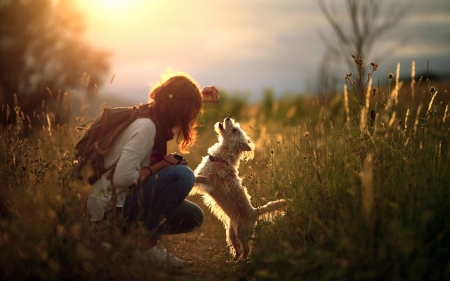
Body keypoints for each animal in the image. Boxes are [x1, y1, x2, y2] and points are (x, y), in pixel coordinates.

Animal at [192, 116, 286, 260]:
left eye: (235, 130)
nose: (227, 118)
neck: (221, 157)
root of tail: (254, 212)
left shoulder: (210, 181)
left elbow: (199, 178)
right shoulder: (202, 171)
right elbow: (195, 174)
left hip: (241, 232)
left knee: (246, 249)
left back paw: (242, 261)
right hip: (231, 232)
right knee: (237, 249)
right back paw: (234, 260)